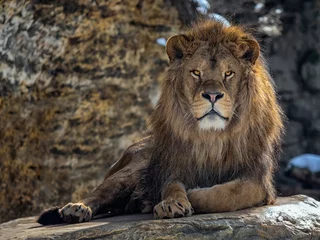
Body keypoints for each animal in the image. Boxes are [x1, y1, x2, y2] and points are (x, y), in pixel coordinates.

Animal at [36, 20, 284, 225]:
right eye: (196, 72)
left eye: (228, 73)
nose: (212, 95)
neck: (211, 137)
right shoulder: (173, 167)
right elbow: (171, 186)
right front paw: (171, 203)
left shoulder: (258, 181)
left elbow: (226, 194)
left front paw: (192, 194)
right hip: (131, 170)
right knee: (99, 194)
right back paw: (77, 209)